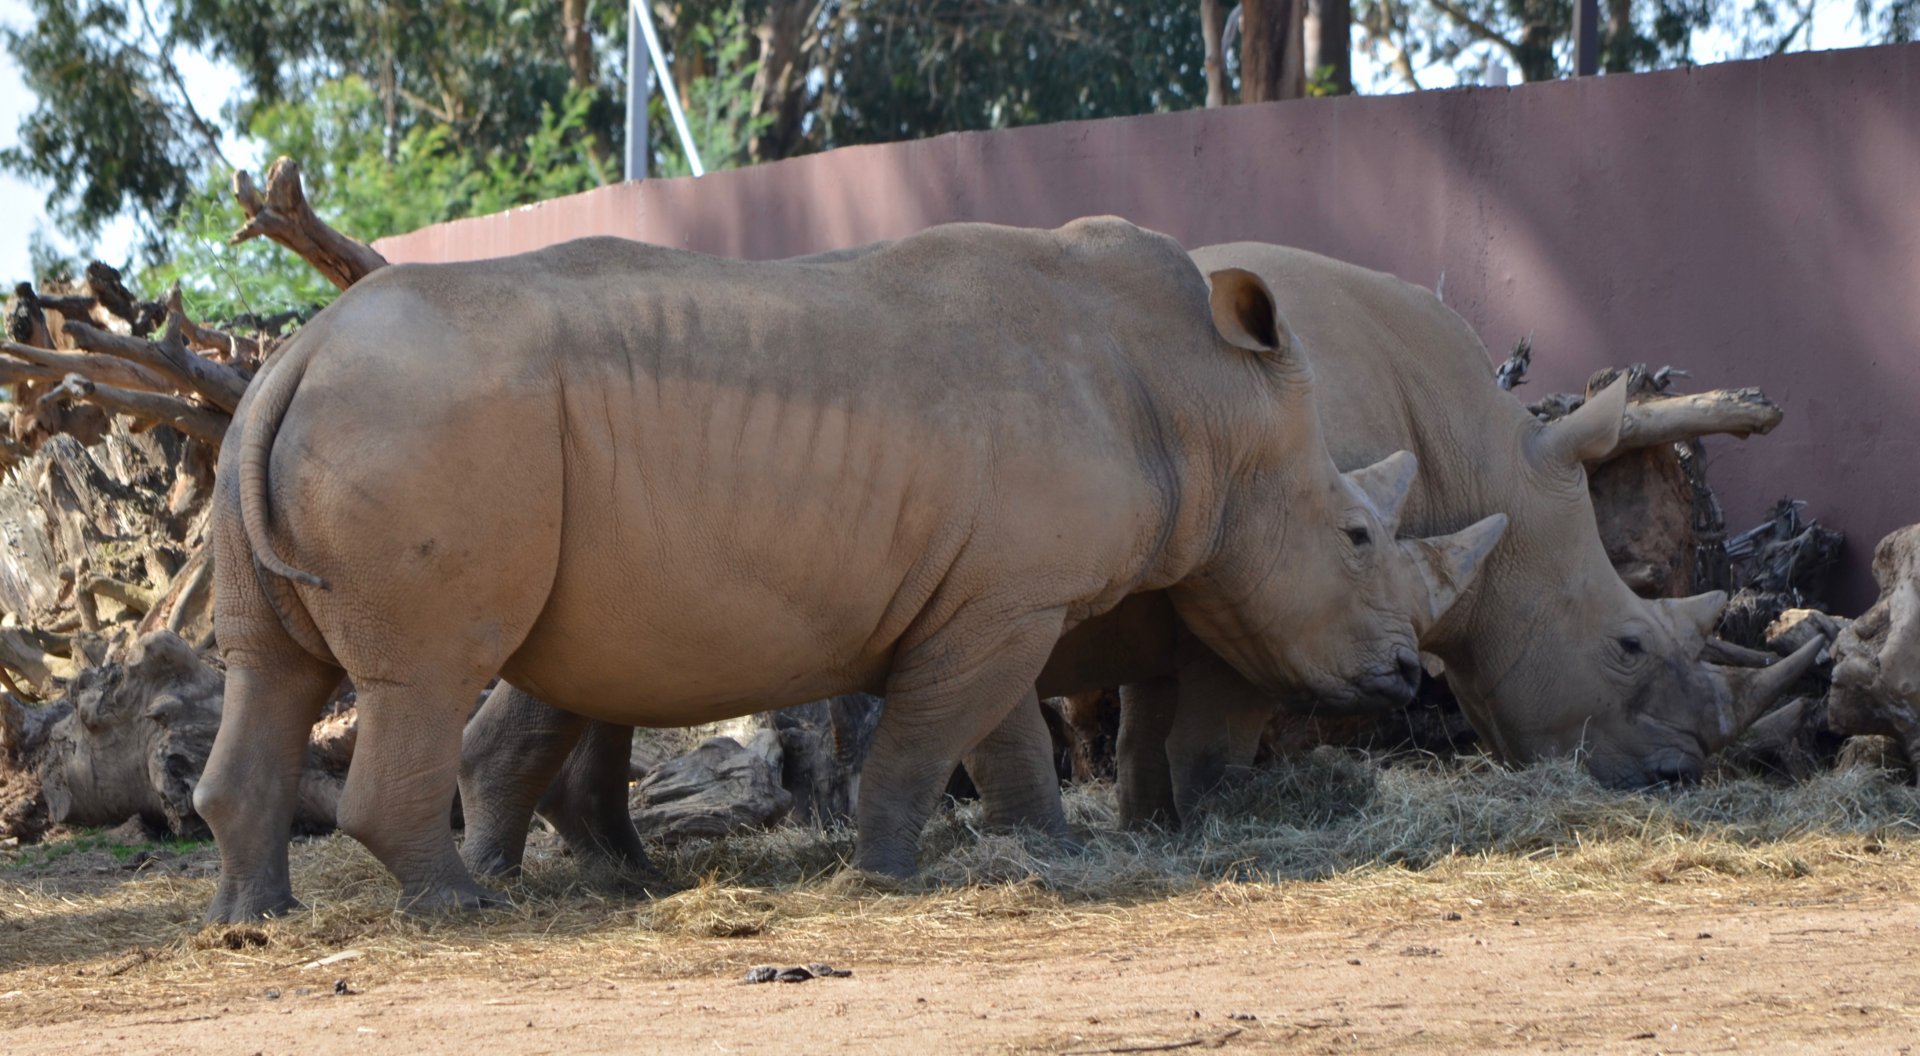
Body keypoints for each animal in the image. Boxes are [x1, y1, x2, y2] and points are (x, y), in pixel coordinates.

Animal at [193, 219, 1505, 921]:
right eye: (1357, 537)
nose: (1404, 678)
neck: (1209, 401)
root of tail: (297, 348)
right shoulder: (1005, 595)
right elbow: (938, 734)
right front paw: (889, 876)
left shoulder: (1003, 591)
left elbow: (1001, 738)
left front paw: (1050, 857)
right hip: (419, 424)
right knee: (425, 674)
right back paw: (462, 912)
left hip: (315, 426)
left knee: (273, 673)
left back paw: (256, 919)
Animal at [462, 240, 1819, 873]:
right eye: (1629, 642)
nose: (1681, 779)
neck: (1480, 462)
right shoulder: (1267, 595)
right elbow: (1217, 723)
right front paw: (1210, 824)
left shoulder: (1197, 595)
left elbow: (1152, 730)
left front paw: (1145, 826)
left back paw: (598, 865)